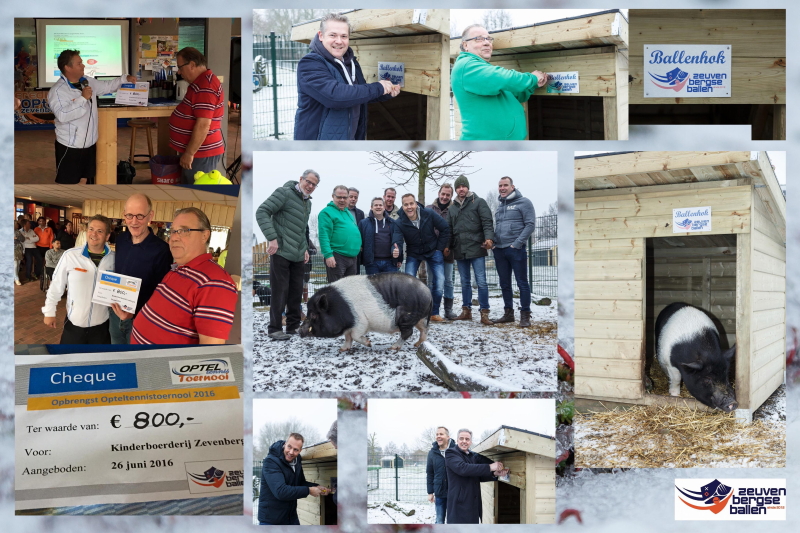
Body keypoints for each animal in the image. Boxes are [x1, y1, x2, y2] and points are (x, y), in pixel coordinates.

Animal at [296, 272, 432, 352]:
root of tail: (428, 291)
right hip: (420, 317)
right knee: (424, 329)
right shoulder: (349, 326)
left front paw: (369, 344)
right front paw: (342, 349)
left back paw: (393, 347)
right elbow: (348, 337)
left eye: (313, 314)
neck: (338, 307)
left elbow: (355, 335)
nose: (299, 330)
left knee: (408, 332)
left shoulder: (361, 322)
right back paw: (418, 345)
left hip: (406, 317)